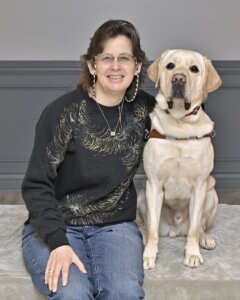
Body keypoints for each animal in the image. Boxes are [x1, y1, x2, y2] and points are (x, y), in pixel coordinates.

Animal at [138, 49, 222, 270]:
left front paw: (192, 254)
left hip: (211, 193)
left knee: (198, 226)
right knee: (145, 225)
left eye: (194, 69)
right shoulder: (154, 185)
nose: (178, 79)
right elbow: (152, 229)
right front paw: (149, 255)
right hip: (142, 195)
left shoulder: (199, 186)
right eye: (170, 66)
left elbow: (193, 228)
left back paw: (205, 238)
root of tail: (175, 229)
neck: (179, 123)